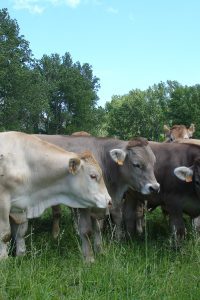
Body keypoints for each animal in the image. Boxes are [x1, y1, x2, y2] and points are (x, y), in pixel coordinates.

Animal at [12, 135, 159, 262]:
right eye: (136, 164)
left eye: (153, 163)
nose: (155, 187)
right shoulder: (83, 205)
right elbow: (86, 230)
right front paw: (89, 257)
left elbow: (98, 228)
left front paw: (101, 250)